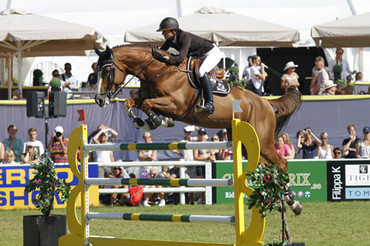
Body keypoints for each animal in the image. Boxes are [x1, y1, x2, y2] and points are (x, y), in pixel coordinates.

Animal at [94, 44, 302, 171]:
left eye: (107, 70)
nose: (99, 100)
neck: (159, 70)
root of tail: (266, 102)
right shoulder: (149, 98)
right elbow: (131, 102)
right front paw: (143, 121)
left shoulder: (176, 105)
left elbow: (147, 104)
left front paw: (158, 120)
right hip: (246, 142)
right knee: (265, 164)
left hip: (263, 141)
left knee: (281, 163)